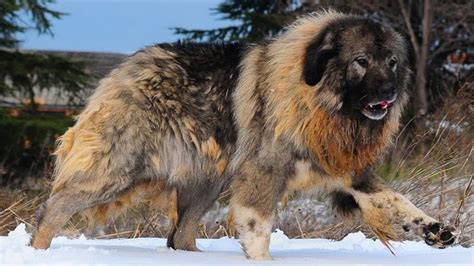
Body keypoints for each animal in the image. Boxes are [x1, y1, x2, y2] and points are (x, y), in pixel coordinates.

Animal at [32, 10, 456, 260]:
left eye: (393, 62)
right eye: (361, 62)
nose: (388, 94)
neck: (315, 98)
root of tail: (125, 68)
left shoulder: (348, 170)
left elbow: (397, 203)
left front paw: (433, 230)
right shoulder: (263, 173)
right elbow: (258, 227)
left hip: (207, 181)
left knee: (179, 235)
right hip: (116, 170)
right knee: (55, 207)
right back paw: (39, 251)